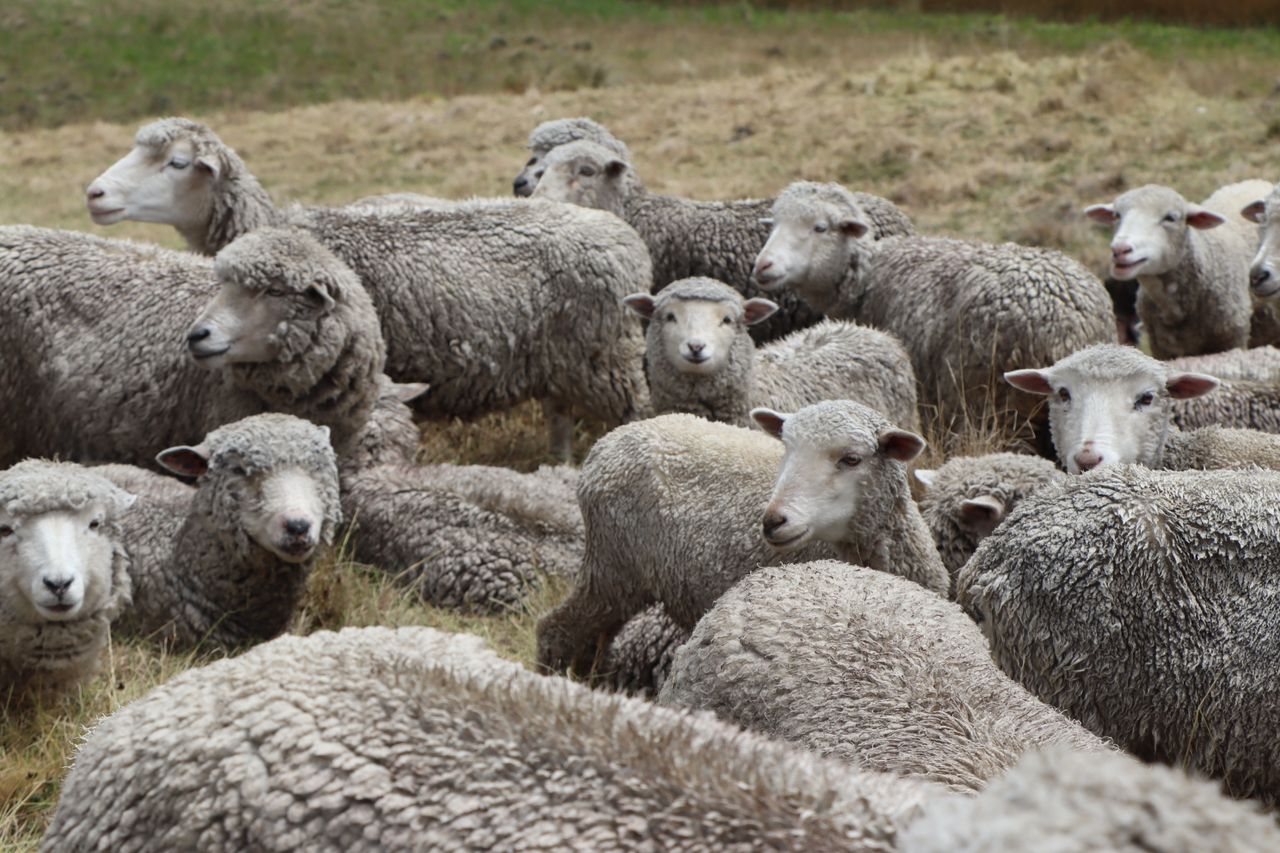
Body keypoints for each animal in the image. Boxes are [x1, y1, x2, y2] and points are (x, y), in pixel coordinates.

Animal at [86, 118, 653, 460]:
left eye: (177, 163)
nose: (94, 194)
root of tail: (625, 238)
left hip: (609, 359)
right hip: (567, 359)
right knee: (560, 418)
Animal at [537, 401, 948, 681]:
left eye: (851, 459)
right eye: (786, 450)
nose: (773, 521)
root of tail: (608, 442)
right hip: (611, 565)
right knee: (554, 630)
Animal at [753, 181, 1115, 438]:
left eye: (820, 227)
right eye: (774, 225)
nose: (763, 265)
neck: (867, 273)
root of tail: (1069, 325)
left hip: (994, 406)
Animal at [1083, 180, 1275, 357]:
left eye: (1170, 218)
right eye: (1117, 215)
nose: (1120, 249)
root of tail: (1252, 182)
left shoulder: (1231, 340)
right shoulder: (1162, 349)